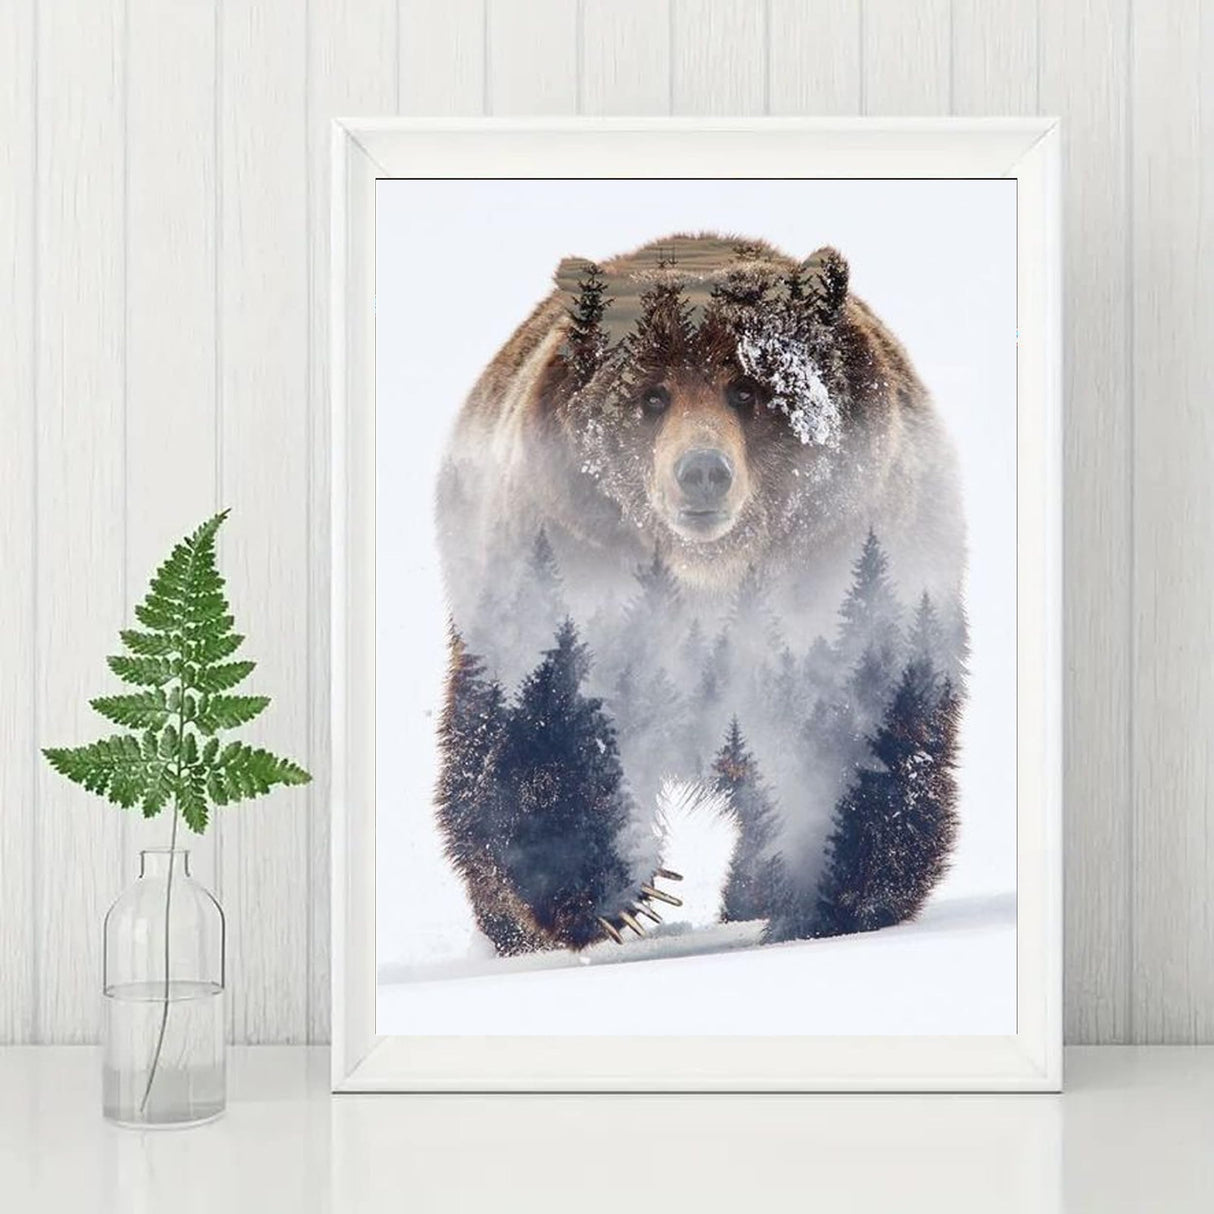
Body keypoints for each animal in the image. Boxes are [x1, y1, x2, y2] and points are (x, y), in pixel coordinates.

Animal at [434, 233, 967, 956]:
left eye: (745, 388)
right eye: (651, 397)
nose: (703, 473)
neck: (708, 577)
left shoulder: (851, 586)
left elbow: (866, 741)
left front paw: (832, 896)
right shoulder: (566, 577)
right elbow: (541, 725)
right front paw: (616, 897)